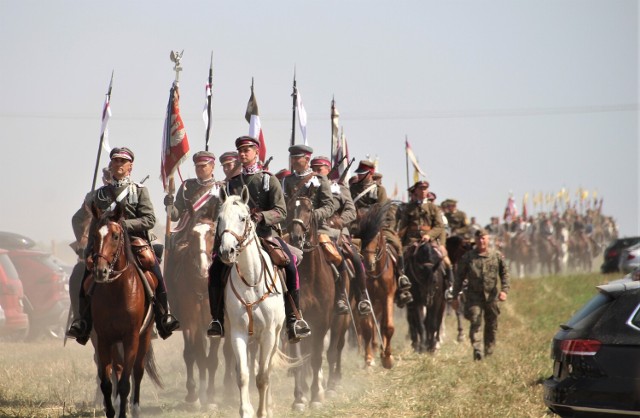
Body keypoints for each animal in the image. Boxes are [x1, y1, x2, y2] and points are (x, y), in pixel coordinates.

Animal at [87, 203, 161, 418]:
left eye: (115, 236)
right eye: (94, 235)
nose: (100, 271)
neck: (116, 291)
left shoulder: (131, 338)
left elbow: (125, 384)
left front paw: (123, 411)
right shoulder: (104, 339)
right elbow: (106, 382)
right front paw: (111, 410)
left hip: (144, 336)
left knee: (137, 372)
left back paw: (134, 408)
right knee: (117, 370)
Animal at [165, 209, 232, 408]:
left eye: (212, 233)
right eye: (193, 235)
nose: (203, 267)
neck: (202, 286)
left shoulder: (215, 325)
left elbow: (212, 360)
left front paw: (210, 397)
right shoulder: (190, 323)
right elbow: (192, 355)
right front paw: (193, 395)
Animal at [216, 186, 284, 418]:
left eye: (243, 218)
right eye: (219, 219)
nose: (226, 251)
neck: (252, 280)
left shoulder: (269, 333)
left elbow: (263, 376)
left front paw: (263, 412)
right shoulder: (238, 333)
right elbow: (243, 375)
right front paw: (246, 411)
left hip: (275, 336)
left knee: (268, 368)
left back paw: (270, 406)